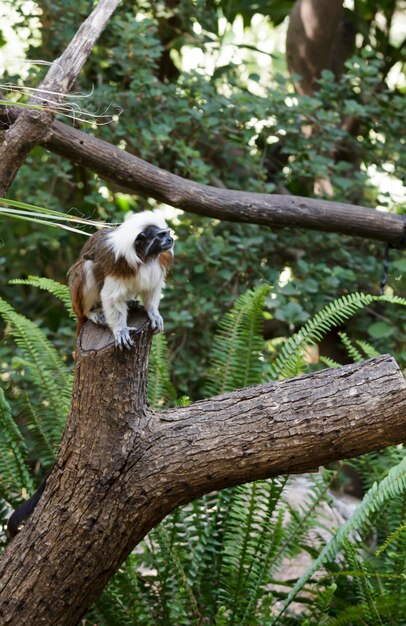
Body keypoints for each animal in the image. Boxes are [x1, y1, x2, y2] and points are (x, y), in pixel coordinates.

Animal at [67, 208, 174, 346]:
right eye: (161, 235)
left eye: (168, 233)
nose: (171, 239)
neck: (145, 257)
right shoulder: (118, 264)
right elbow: (111, 297)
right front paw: (121, 330)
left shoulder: (158, 263)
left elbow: (152, 287)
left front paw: (153, 313)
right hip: (77, 300)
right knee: (87, 266)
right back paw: (91, 312)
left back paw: (131, 302)